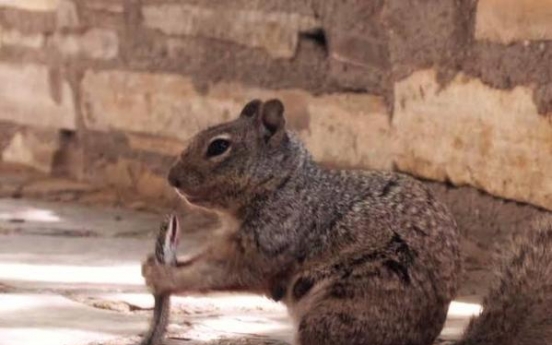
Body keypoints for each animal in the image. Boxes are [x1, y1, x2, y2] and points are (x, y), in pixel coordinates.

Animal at [142, 98, 552, 342]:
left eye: (219, 147)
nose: (172, 179)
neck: (284, 185)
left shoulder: (273, 240)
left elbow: (219, 273)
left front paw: (162, 275)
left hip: (340, 313)